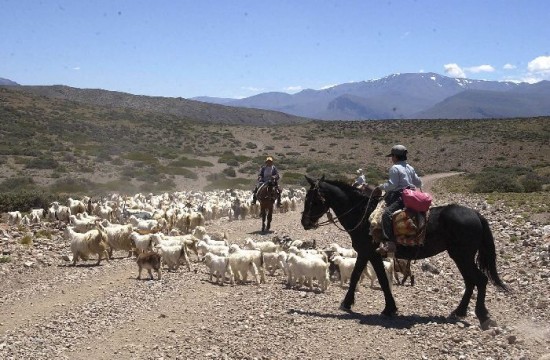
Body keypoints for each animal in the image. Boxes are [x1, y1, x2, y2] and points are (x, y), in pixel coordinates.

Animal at [302, 175, 508, 330]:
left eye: (312, 199)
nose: (304, 222)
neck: (362, 214)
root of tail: (476, 215)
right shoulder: (370, 254)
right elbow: (372, 278)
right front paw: (386, 308)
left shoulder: (368, 252)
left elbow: (365, 277)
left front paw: (351, 304)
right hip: (461, 256)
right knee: (471, 281)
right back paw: (459, 312)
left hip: (462, 256)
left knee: (479, 280)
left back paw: (482, 316)